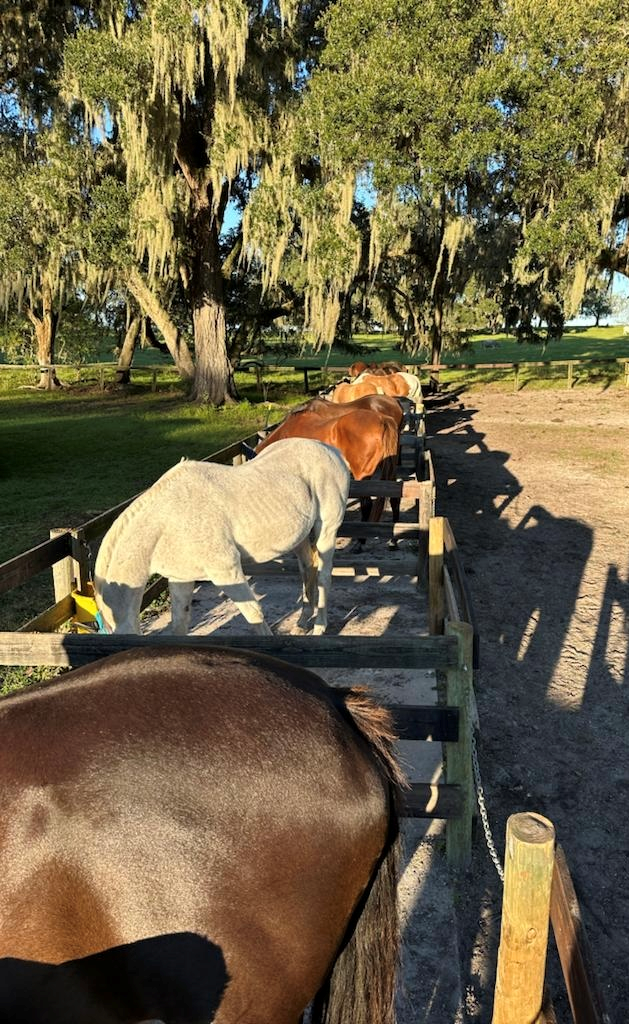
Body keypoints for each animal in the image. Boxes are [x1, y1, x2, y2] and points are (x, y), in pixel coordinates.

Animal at [95, 438, 350, 636]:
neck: (166, 521)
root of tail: (332, 450)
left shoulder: (226, 571)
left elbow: (253, 613)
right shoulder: (180, 578)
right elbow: (179, 625)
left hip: (327, 530)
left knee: (324, 576)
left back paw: (319, 627)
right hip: (300, 538)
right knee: (308, 569)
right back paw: (303, 621)